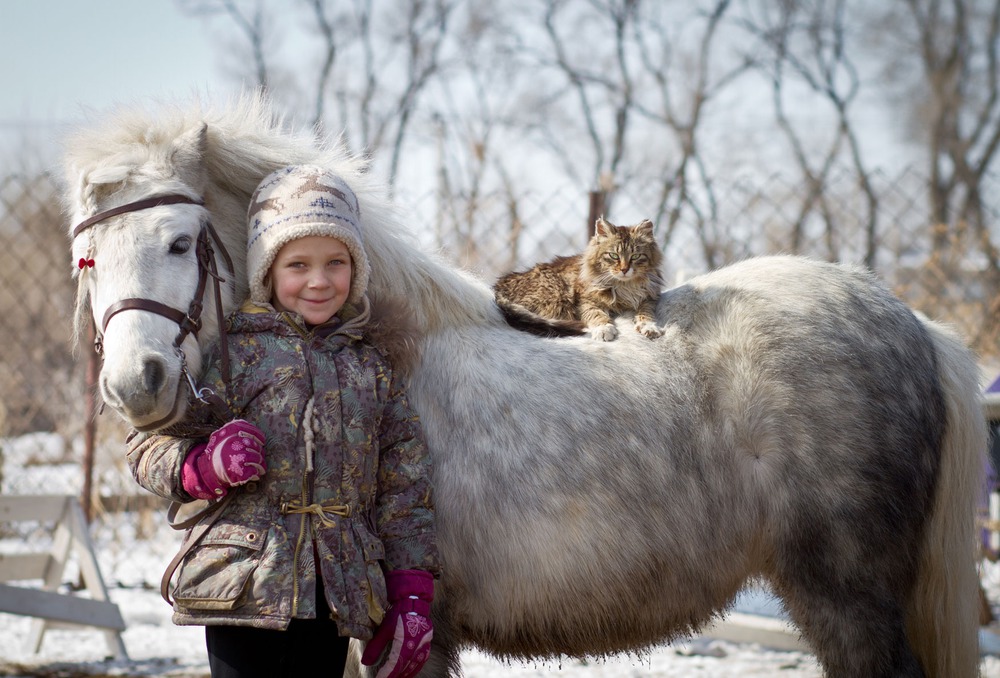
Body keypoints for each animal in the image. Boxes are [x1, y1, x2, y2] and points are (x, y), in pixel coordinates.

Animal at [492, 218, 664, 342]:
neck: (624, 285)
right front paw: (604, 330)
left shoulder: (648, 298)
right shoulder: (585, 301)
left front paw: (649, 327)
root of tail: (497, 288)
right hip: (554, 294)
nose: (624, 269)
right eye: (613, 255)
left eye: (635, 256)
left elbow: (646, 314)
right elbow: (597, 315)